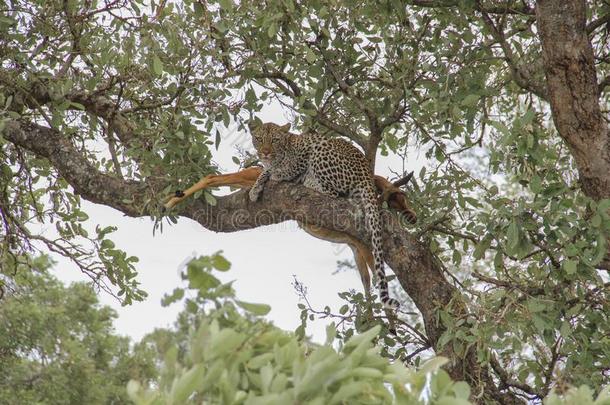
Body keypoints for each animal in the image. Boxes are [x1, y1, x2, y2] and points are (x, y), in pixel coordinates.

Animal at [247, 121, 400, 308]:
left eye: (275, 140)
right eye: (259, 139)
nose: (265, 152)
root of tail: (367, 175)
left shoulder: (305, 150)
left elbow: (289, 168)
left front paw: (279, 174)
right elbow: (264, 172)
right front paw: (255, 189)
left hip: (321, 151)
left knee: (333, 193)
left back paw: (308, 181)